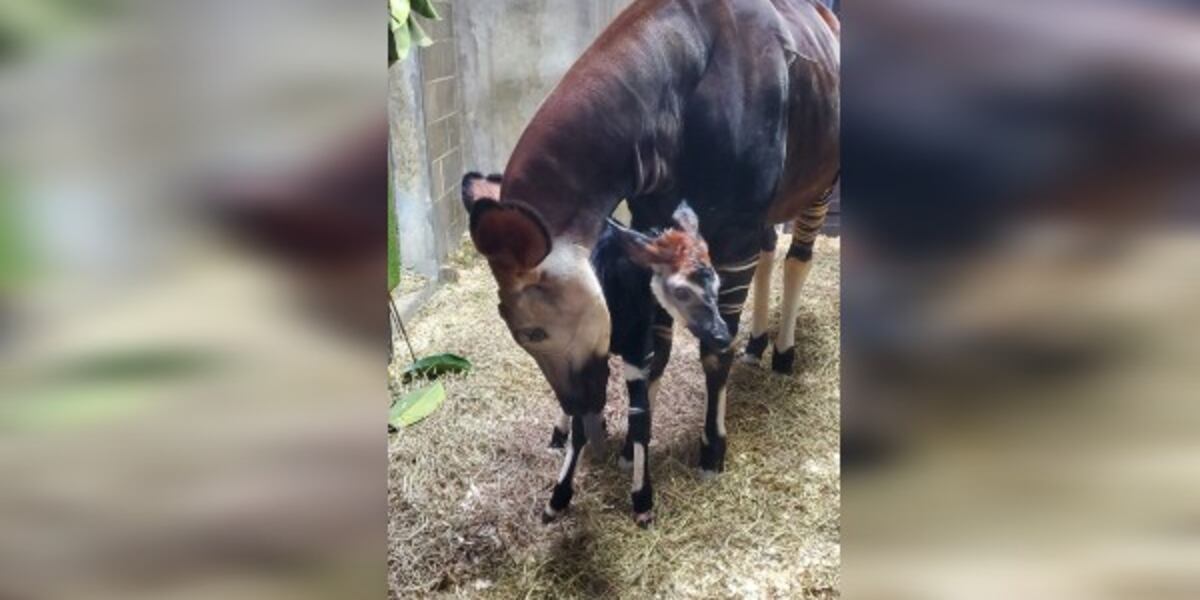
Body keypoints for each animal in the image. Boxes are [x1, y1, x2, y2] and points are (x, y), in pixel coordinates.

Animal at [464, 0, 839, 525]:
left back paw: (783, 354)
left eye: (533, 332)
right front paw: (629, 451)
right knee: (772, 251)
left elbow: (713, 350)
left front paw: (711, 450)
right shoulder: (654, 225)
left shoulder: (732, 235)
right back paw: (757, 343)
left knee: (797, 259)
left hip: (821, 183)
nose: (579, 406)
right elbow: (654, 354)